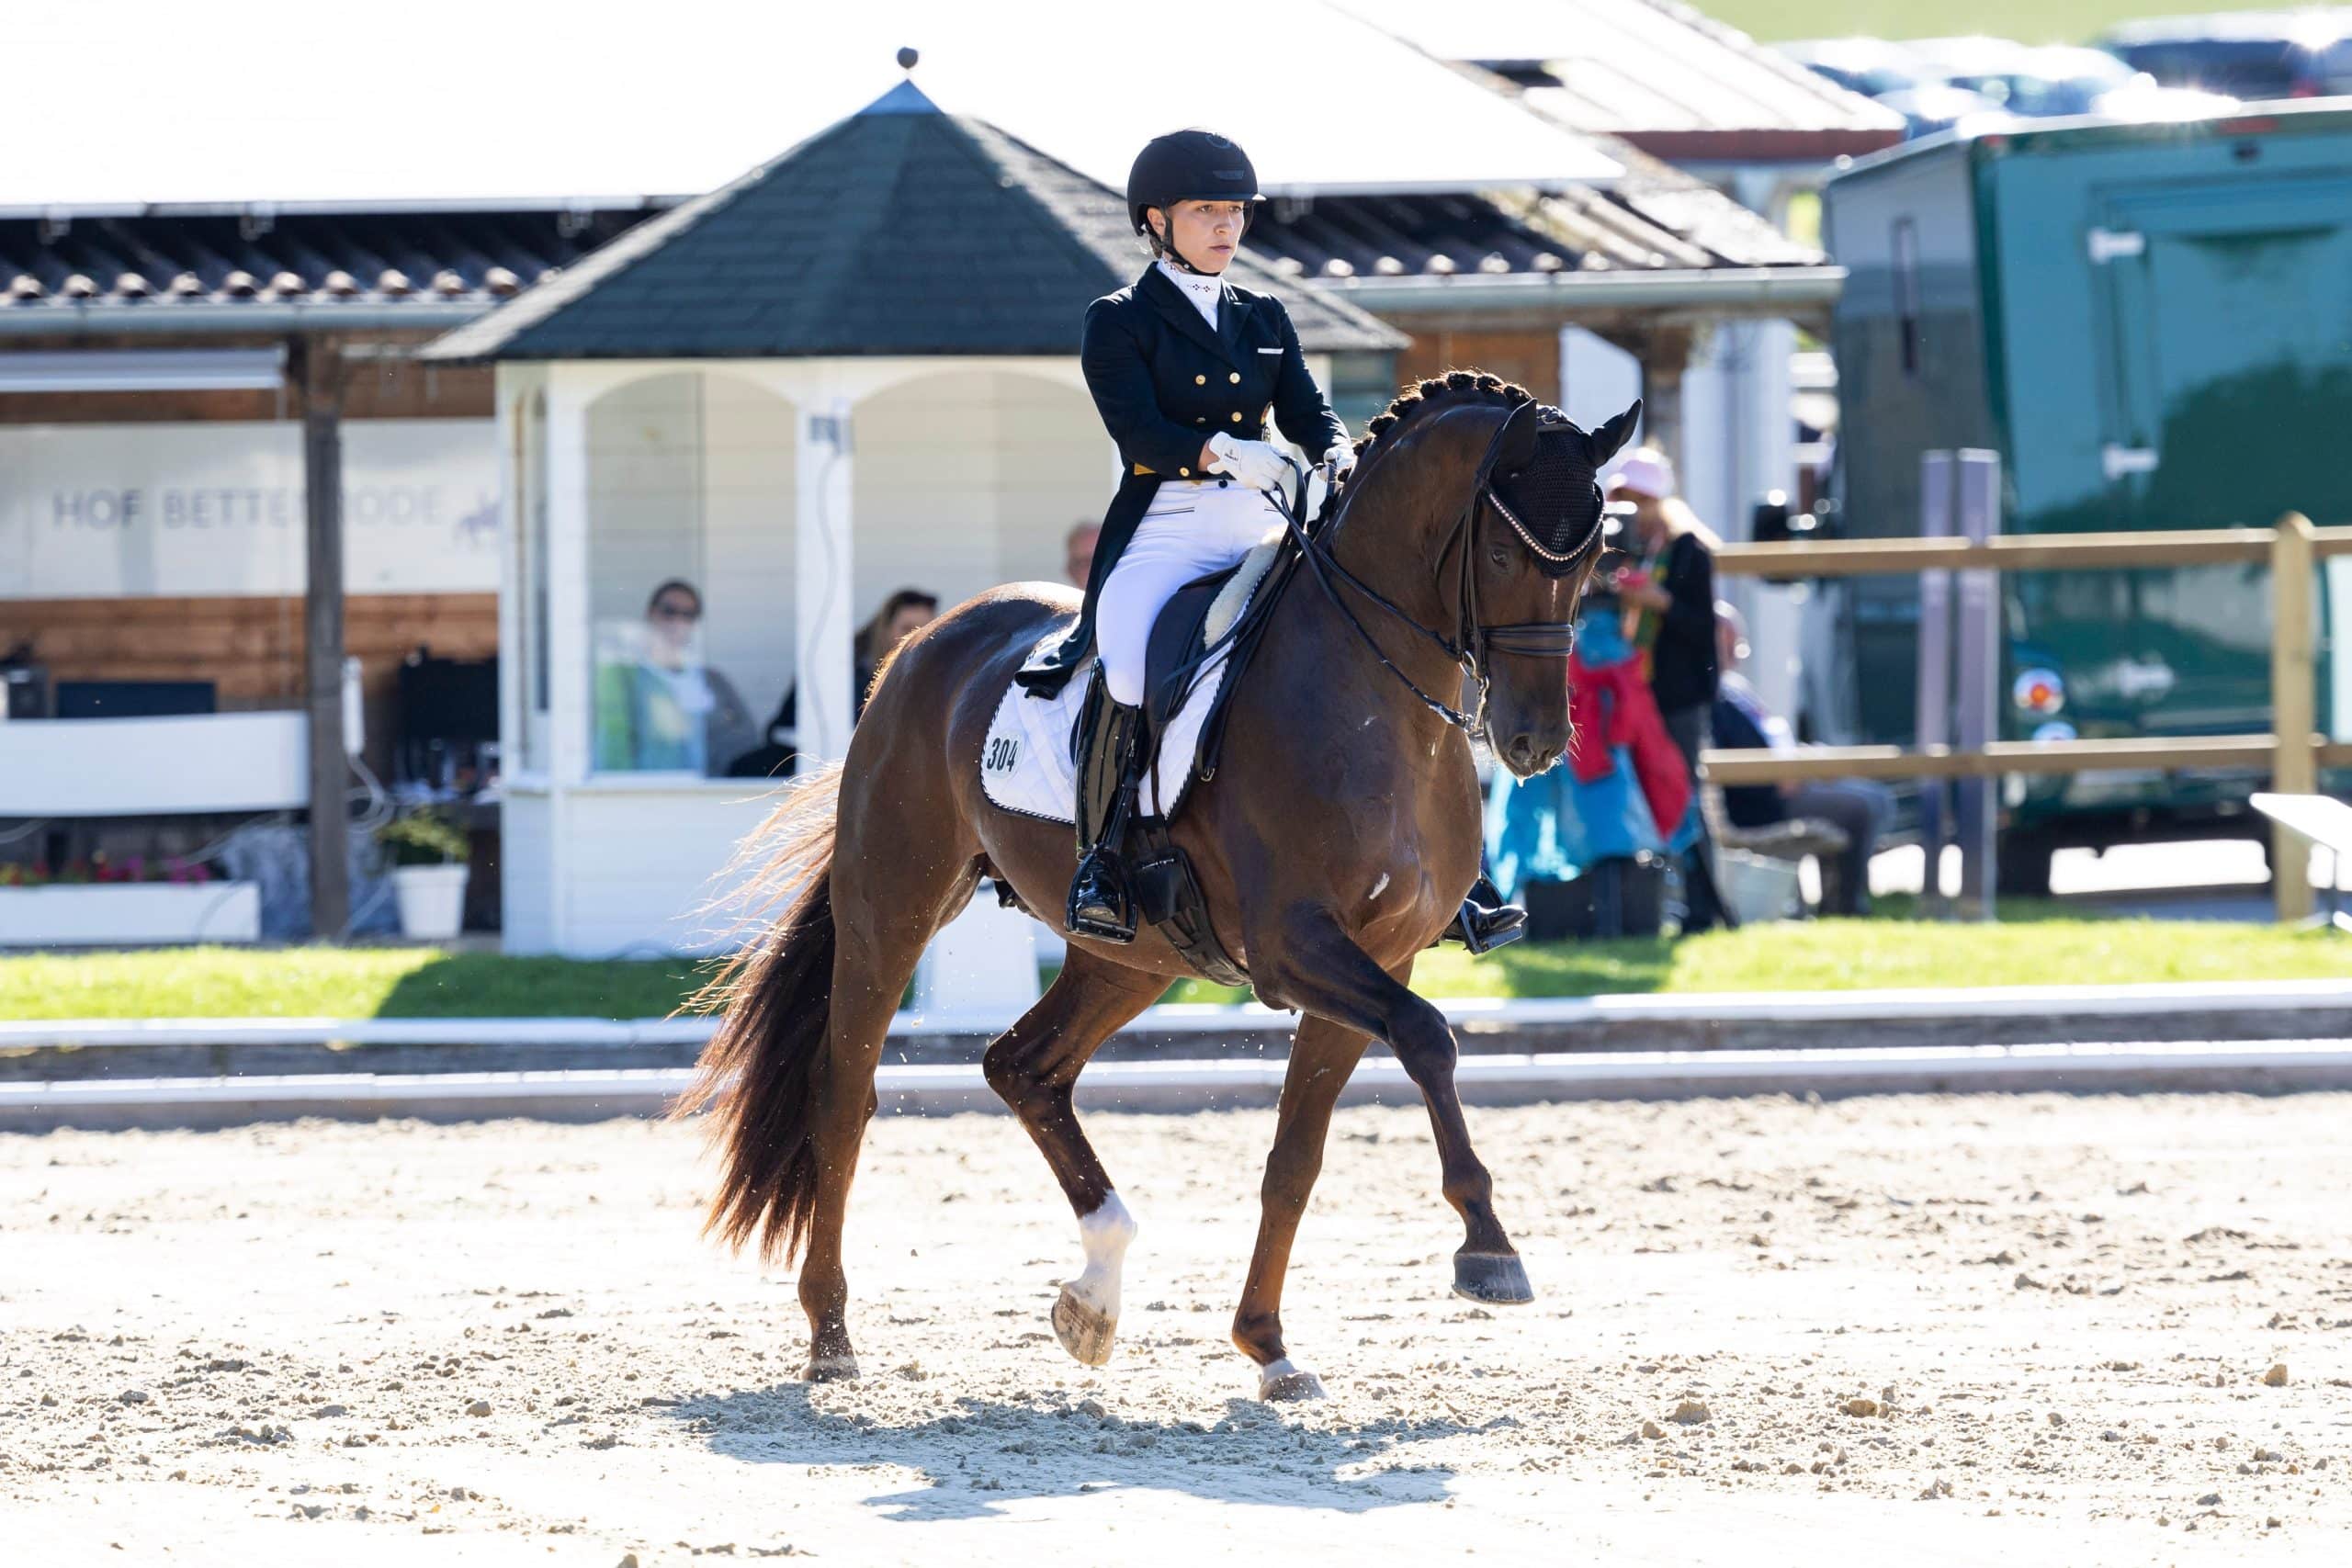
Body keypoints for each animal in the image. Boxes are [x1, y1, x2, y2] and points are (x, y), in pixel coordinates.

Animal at [677, 373, 1636, 1401]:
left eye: (1597, 556)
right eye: (1499, 550)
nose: (1535, 741)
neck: (1376, 704)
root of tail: (921, 643)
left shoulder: (1381, 955)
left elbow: (1296, 1155)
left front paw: (1268, 1345)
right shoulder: (1295, 948)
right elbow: (1427, 1040)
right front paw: (1489, 1247)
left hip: (1131, 956)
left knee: (1023, 1067)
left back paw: (1093, 1294)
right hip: (892, 905)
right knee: (843, 1094)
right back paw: (831, 1334)